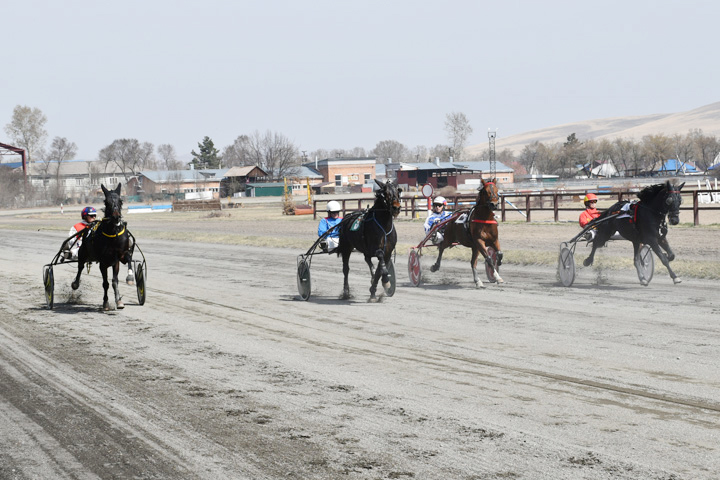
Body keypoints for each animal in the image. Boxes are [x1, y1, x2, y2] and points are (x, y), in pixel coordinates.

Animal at [71, 182, 134, 310]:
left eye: (121, 201)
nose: (116, 217)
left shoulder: (118, 258)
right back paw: (75, 283)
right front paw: (105, 303)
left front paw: (119, 299)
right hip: (83, 253)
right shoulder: (103, 262)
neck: (113, 235)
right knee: (80, 267)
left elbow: (116, 279)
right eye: (106, 202)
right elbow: (105, 283)